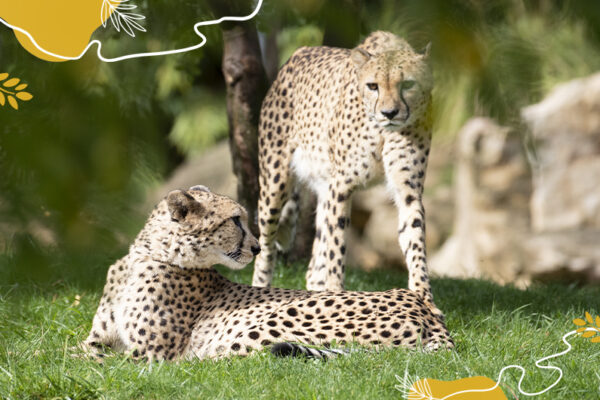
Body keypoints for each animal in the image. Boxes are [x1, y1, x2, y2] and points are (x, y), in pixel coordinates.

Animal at [82, 186, 452, 360]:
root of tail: (423, 306)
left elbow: (103, 363)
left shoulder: (152, 353)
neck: (146, 256)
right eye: (235, 220)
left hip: (272, 322)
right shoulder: (99, 340)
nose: (258, 247)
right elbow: (79, 352)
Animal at [251, 31, 438, 310]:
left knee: (313, 267)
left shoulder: (409, 190)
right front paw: (337, 293)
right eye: (373, 86)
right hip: (275, 183)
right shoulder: (340, 187)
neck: (382, 131)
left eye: (407, 84)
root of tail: (298, 53)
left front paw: (424, 298)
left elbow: (414, 241)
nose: (389, 113)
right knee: (266, 246)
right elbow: (336, 249)